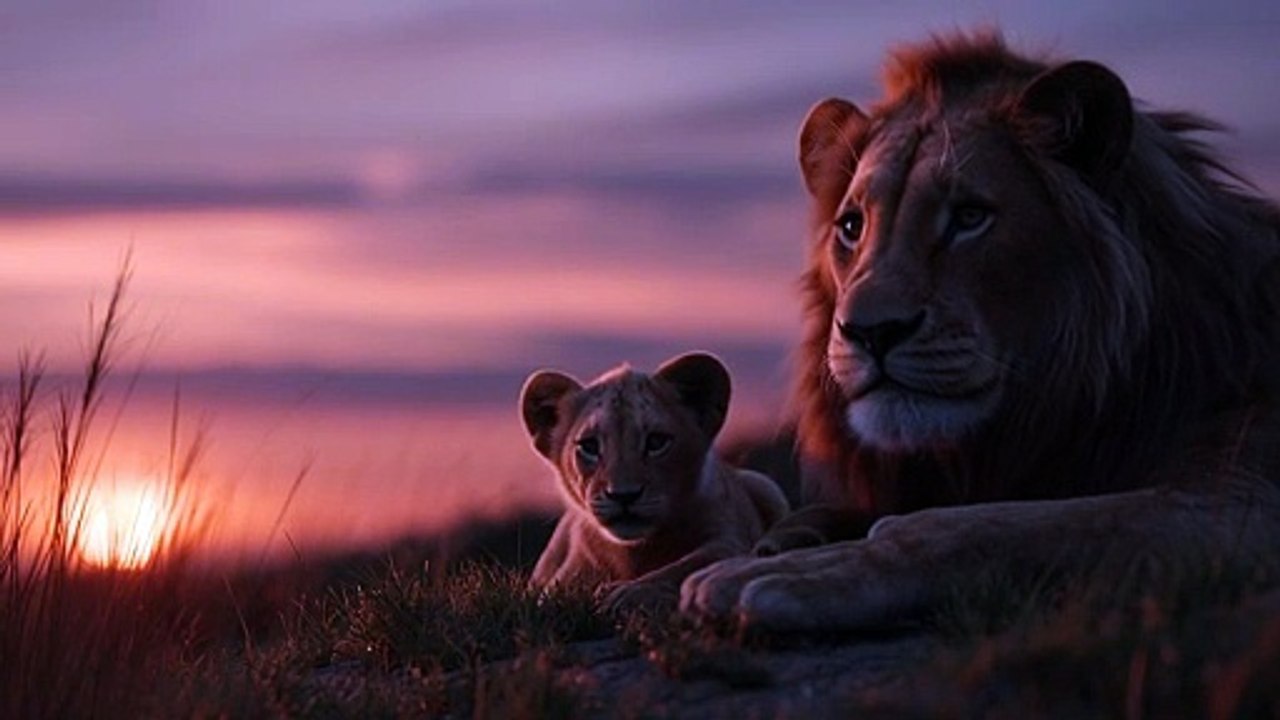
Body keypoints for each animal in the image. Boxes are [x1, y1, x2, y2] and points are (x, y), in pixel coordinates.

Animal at [520, 352, 789, 612]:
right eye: (589, 446)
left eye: (656, 442)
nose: (623, 495)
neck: (635, 552)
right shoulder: (564, 575)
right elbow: (557, 592)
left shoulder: (731, 541)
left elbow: (687, 566)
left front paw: (627, 593)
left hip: (764, 484)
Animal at [680, 32, 1280, 632]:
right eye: (851, 227)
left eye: (970, 217)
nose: (871, 332)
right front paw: (787, 538)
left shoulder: (1239, 501)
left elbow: (977, 526)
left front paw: (794, 571)